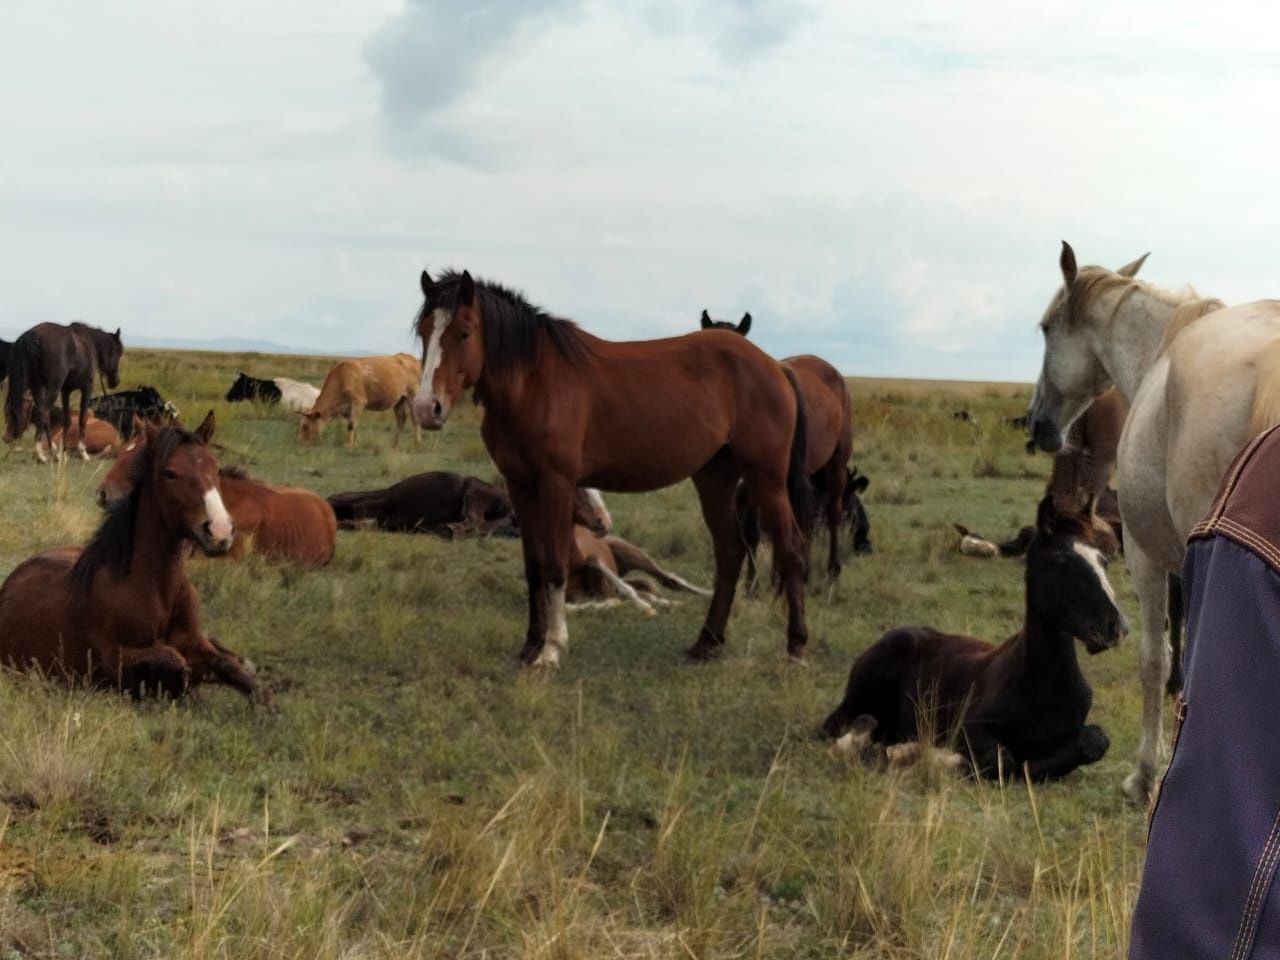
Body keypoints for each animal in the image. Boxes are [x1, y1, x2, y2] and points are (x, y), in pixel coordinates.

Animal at [3, 323, 123, 463]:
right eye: (119, 352)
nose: (115, 381)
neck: (89, 343)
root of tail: (34, 335)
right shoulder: (86, 387)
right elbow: (82, 419)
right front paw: (83, 452)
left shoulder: (66, 390)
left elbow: (67, 421)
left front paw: (63, 451)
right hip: (52, 388)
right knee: (43, 413)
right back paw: (42, 454)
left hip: (37, 387)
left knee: (44, 415)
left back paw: (53, 453)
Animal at [409, 271, 808, 670]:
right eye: (425, 331)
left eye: (464, 332)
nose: (427, 408)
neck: (535, 384)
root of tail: (775, 366)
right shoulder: (520, 486)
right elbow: (534, 566)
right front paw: (530, 646)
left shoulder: (556, 484)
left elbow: (554, 565)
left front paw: (552, 649)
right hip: (715, 477)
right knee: (729, 551)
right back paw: (706, 643)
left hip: (766, 477)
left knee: (789, 549)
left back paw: (795, 647)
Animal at [824, 496, 1126, 783]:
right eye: (1061, 561)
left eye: (1103, 560)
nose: (1116, 627)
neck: (1043, 686)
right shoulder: (971, 728)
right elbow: (1003, 760)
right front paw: (921, 755)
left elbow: (1091, 743)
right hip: (856, 701)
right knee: (843, 725)